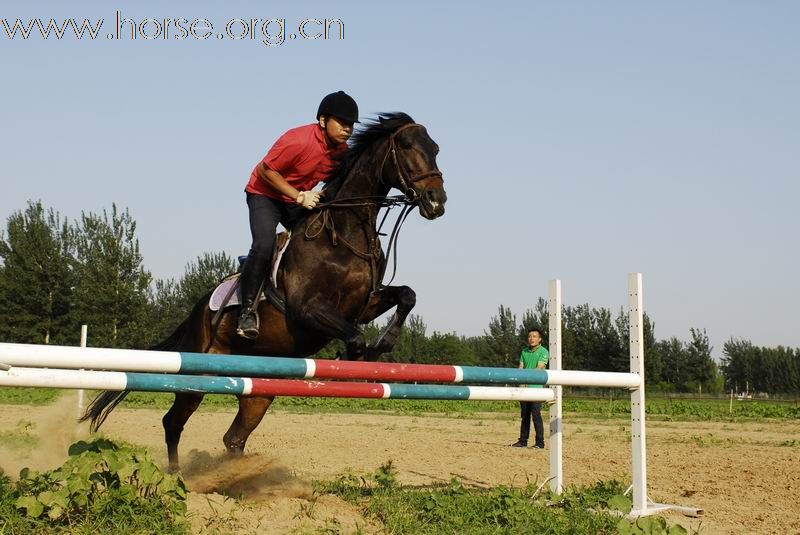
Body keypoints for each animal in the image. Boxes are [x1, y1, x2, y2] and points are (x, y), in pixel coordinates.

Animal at [83, 112, 446, 468]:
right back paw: (177, 477)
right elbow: (355, 336)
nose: (437, 202)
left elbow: (407, 295)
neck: (344, 233)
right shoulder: (307, 309)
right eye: (407, 145)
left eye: (436, 148)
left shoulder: (364, 304)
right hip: (198, 374)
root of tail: (195, 313)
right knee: (173, 422)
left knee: (234, 437)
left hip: (259, 387)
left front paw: (382, 345)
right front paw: (355, 359)